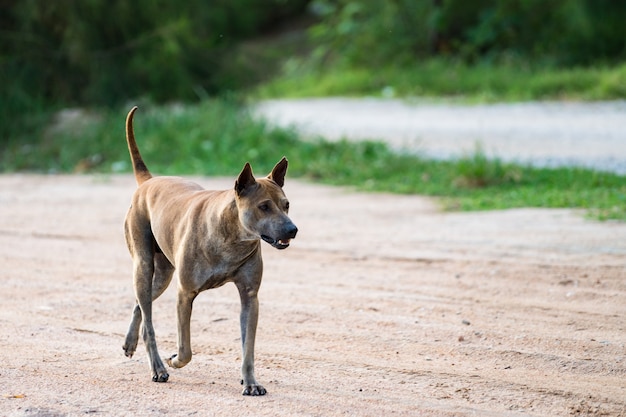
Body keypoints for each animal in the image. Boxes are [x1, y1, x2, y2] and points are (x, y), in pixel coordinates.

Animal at [122, 105, 298, 394]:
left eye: (286, 205)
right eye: (263, 206)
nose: (292, 229)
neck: (232, 237)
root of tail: (149, 181)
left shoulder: (250, 297)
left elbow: (248, 348)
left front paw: (250, 381)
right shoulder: (185, 293)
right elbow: (186, 349)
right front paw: (174, 360)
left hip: (162, 276)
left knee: (140, 306)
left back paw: (130, 342)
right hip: (144, 265)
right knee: (148, 318)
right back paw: (158, 366)